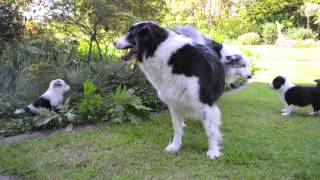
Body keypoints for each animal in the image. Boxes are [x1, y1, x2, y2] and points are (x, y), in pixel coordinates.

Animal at [115, 21, 225, 160]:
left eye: (130, 33)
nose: (113, 42)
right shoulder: (173, 101)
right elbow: (176, 127)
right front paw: (175, 146)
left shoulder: (206, 102)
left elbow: (210, 130)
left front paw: (213, 151)